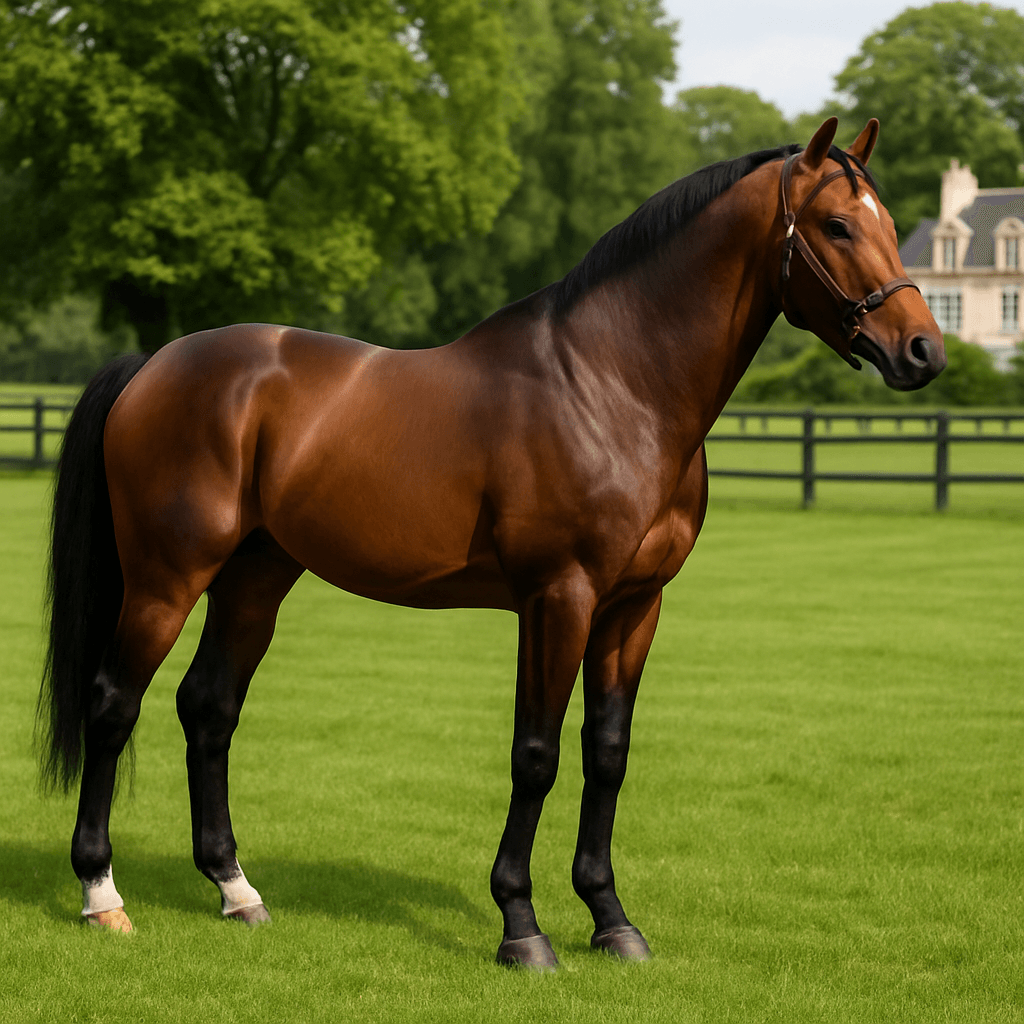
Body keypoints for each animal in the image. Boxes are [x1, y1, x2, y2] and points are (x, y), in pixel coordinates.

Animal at [39, 117, 944, 970]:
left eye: (893, 224)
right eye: (836, 225)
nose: (924, 351)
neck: (613, 386)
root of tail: (155, 363)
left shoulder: (634, 608)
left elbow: (607, 753)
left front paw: (612, 920)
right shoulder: (558, 597)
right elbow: (536, 754)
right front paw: (522, 929)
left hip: (255, 577)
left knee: (209, 707)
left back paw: (236, 890)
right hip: (167, 577)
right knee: (114, 703)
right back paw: (101, 896)